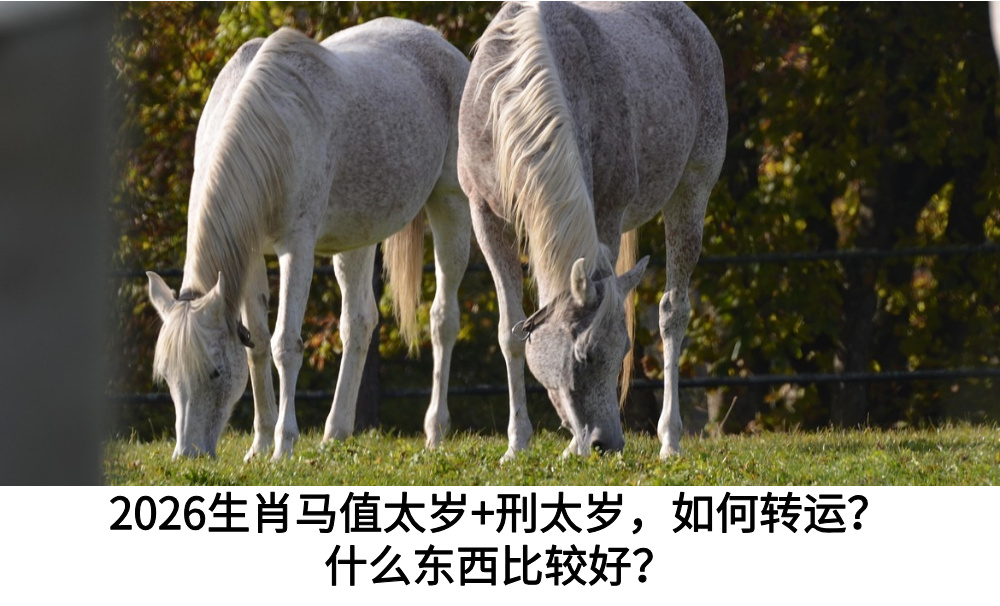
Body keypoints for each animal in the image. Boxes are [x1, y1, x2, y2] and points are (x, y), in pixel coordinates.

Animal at [146, 20, 471, 460]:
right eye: (167, 376)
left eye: (214, 372)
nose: (187, 455)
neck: (271, 131)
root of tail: (442, 44)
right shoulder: (250, 257)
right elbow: (257, 346)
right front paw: (260, 443)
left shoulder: (296, 249)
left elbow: (285, 343)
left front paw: (283, 446)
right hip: (357, 238)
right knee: (359, 322)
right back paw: (336, 432)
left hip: (450, 205)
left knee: (442, 319)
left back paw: (435, 431)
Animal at [458, 2, 726, 459]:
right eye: (582, 356)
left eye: (622, 350)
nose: (606, 442)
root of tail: (693, 27)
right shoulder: (484, 215)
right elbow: (511, 331)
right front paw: (517, 443)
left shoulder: (607, 213)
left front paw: (569, 445)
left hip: (693, 190)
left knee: (673, 313)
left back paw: (670, 440)